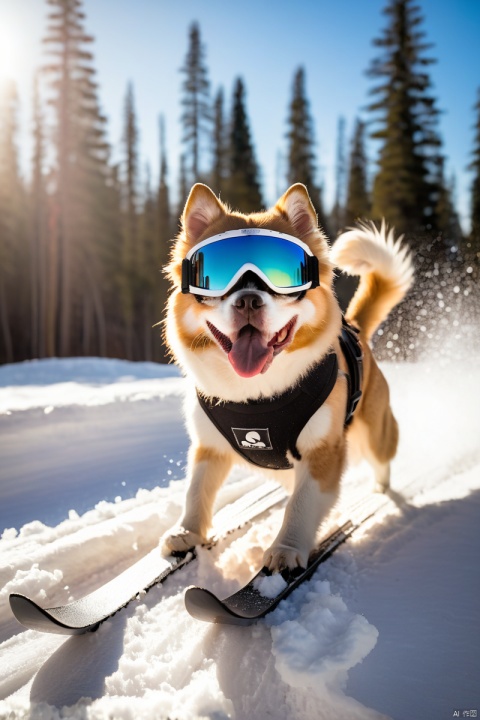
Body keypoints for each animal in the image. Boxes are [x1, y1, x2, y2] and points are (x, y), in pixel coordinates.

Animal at [160, 181, 412, 572]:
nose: (248, 300)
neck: (256, 396)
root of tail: (358, 331)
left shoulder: (323, 453)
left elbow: (301, 505)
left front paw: (286, 550)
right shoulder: (209, 447)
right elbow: (196, 491)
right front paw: (188, 533)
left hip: (376, 430)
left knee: (382, 461)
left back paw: (378, 494)